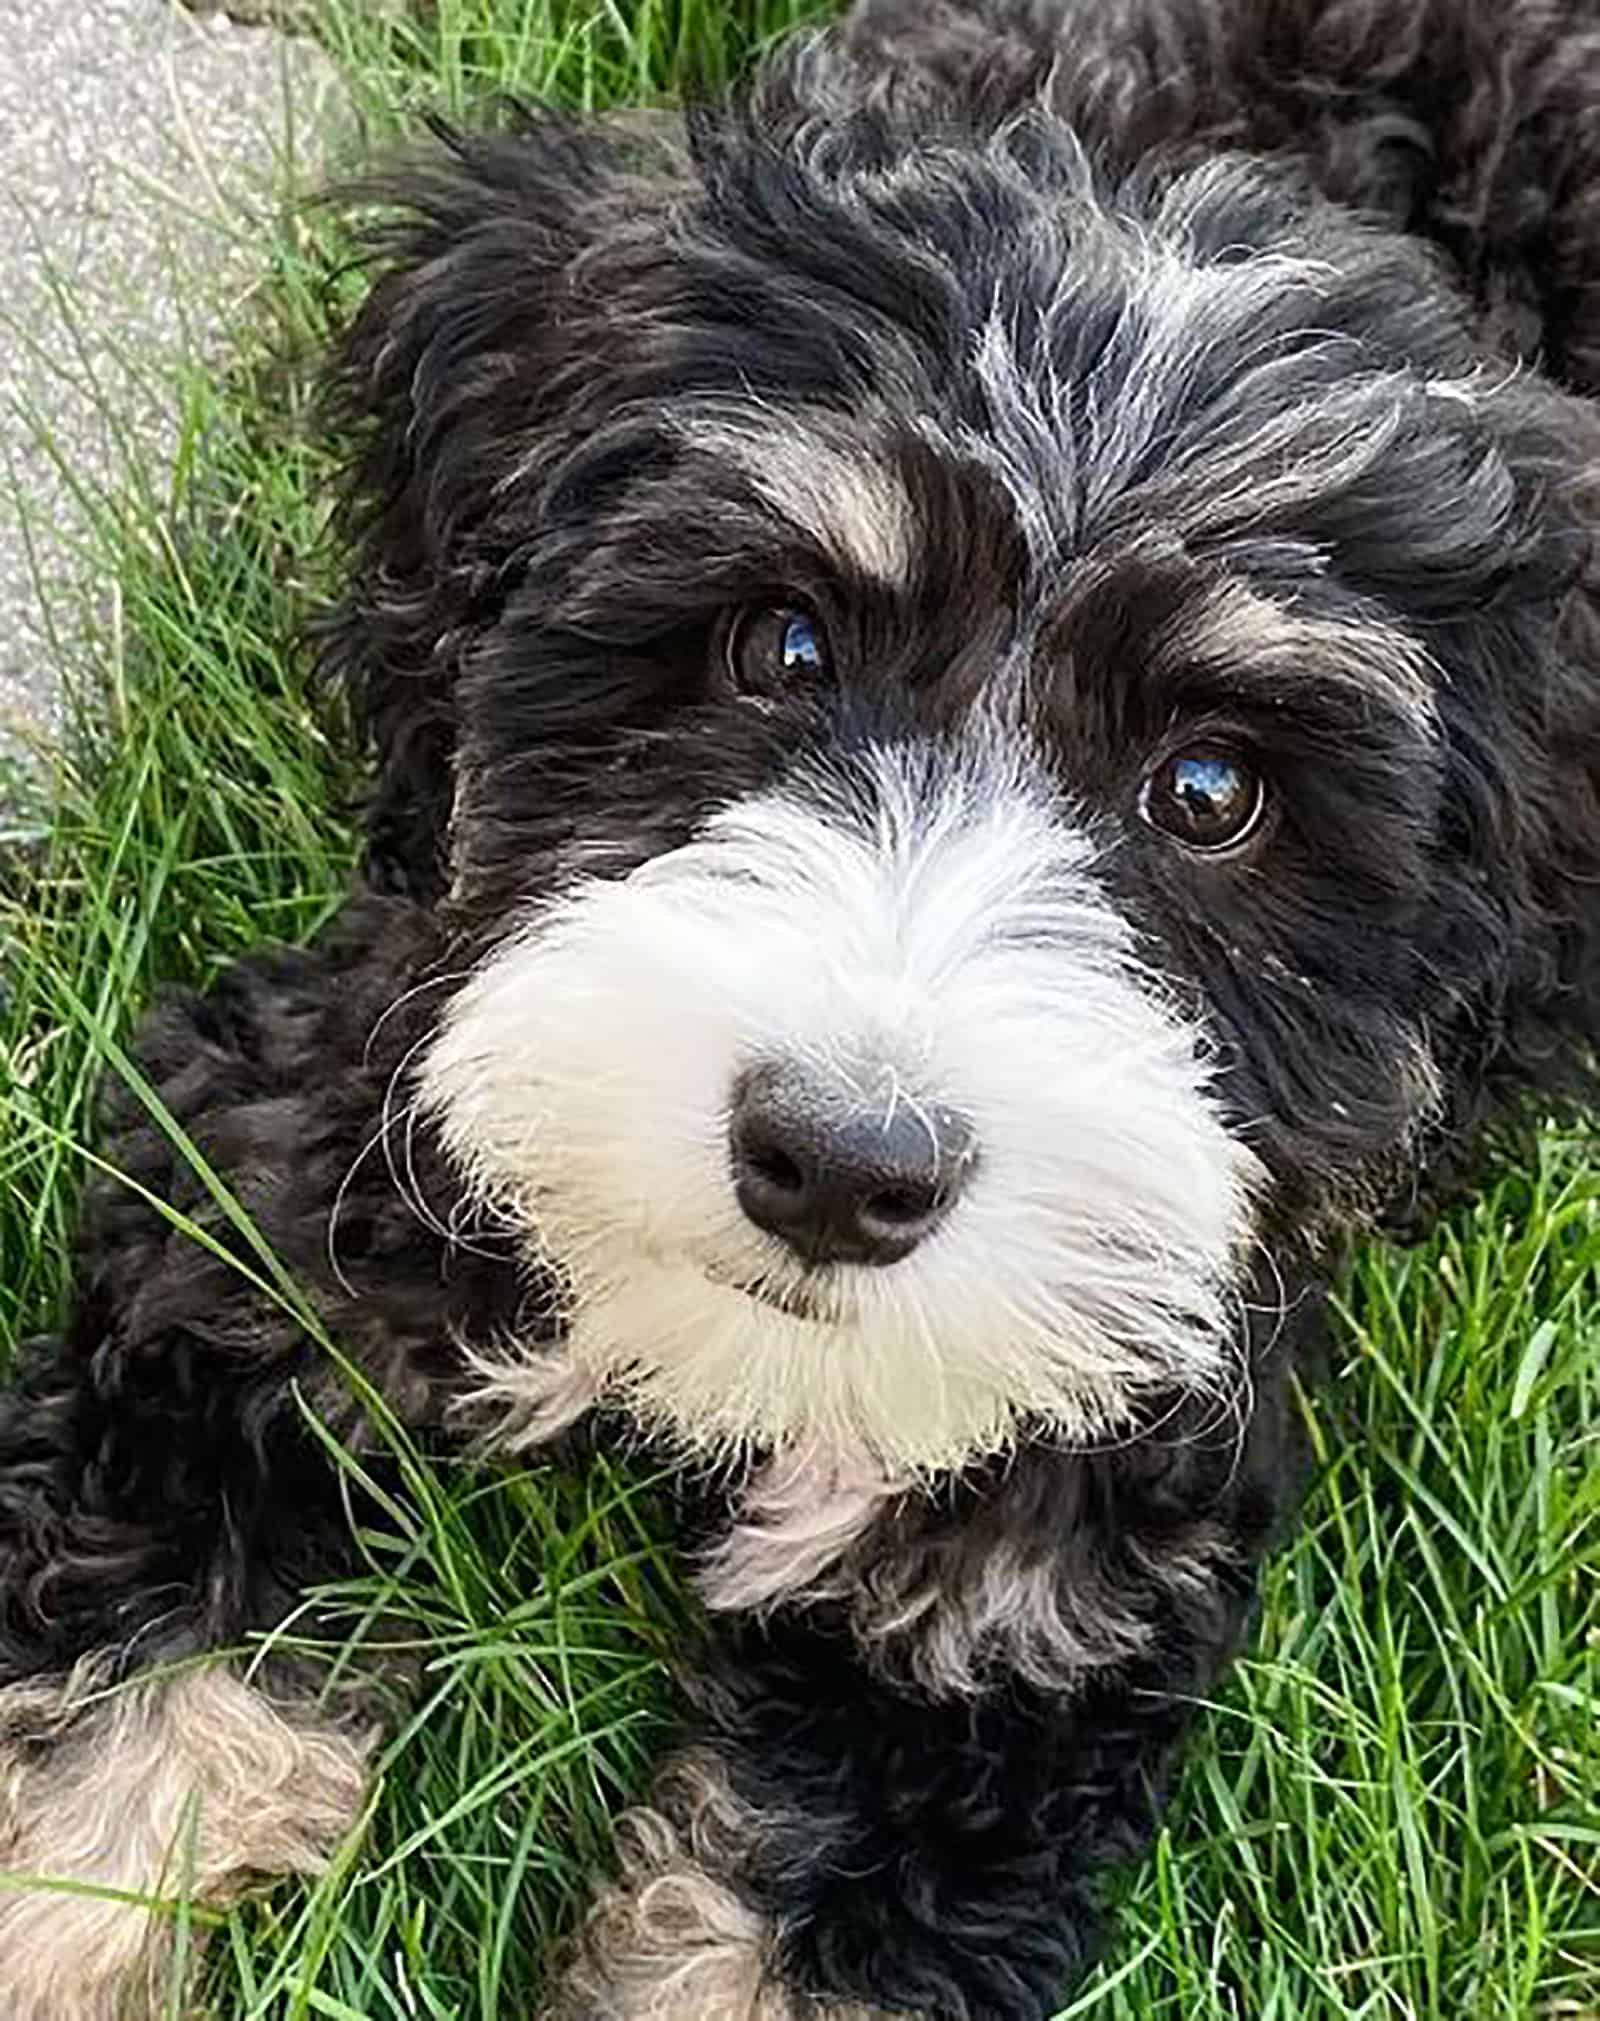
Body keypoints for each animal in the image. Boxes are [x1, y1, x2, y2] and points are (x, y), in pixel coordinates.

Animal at [3, 0, 1599, 2012]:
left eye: (1212, 790)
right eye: (780, 644)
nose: (841, 1164)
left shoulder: (1036, 1614)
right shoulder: (261, 1205)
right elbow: (120, 1687)